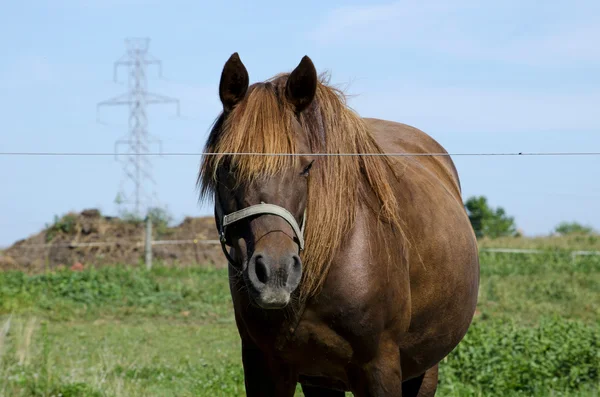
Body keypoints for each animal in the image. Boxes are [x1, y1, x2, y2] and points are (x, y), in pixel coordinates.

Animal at [199, 53, 480, 396]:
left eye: (307, 167)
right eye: (226, 166)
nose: (276, 272)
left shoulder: (379, 367)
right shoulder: (264, 367)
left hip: (425, 368)